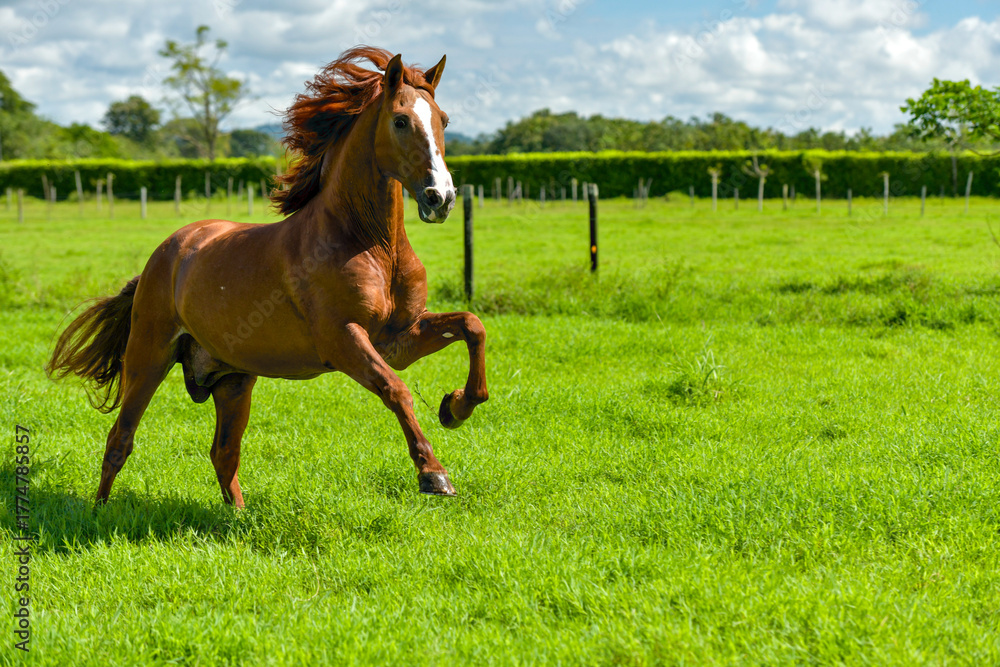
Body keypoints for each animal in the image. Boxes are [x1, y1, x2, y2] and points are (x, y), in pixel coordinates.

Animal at [46, 47, 488, 507]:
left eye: (444, 120)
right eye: (400, 120)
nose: (441, 198)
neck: (373, 247)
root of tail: (165, 255)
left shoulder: (398, 339)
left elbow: (472, 326)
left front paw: (456, 407)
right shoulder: (343, 340)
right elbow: (397, 390)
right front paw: (434, 474)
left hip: (233, 380)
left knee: (223, 454)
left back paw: (238, 517)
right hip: (148, 358)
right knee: (120, 439)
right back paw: (99, 511)